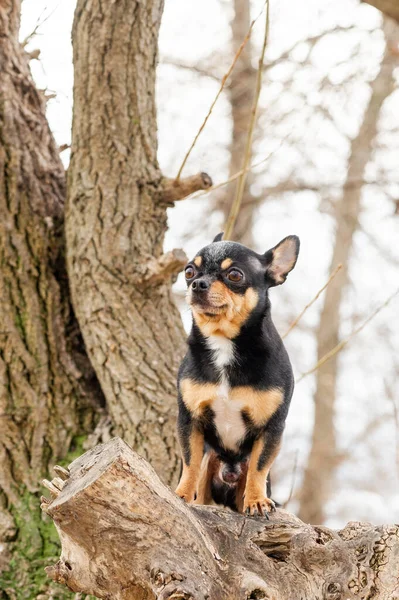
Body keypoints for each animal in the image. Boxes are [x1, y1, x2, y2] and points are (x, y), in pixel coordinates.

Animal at [176, 233, 300, 516]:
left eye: (234, 275)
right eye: (189, 271)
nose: (197, 283)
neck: (224, 342)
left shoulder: (271, 428)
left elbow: (258, 467)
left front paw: (257, 500)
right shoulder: (190, 420)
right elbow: (189, 462)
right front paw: (180, 495)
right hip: (210, 459)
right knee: (201, 480)